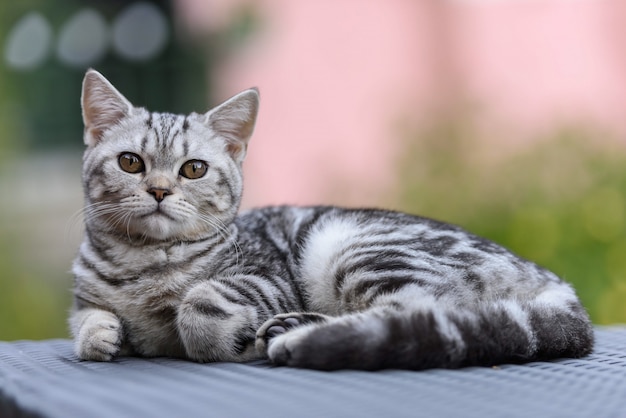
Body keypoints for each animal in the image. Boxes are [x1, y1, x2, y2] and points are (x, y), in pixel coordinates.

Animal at [70, 69, 592, 372]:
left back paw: (293, 336)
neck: (144, 264)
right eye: (131, 162)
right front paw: (103, 335)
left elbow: (198, 304)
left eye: (193, 169)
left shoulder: (267, 278)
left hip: (357, 251)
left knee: (416, 314)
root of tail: (553, 281)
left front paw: (221, 338)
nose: (159, 190)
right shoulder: (84, 297)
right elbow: (86, 322)